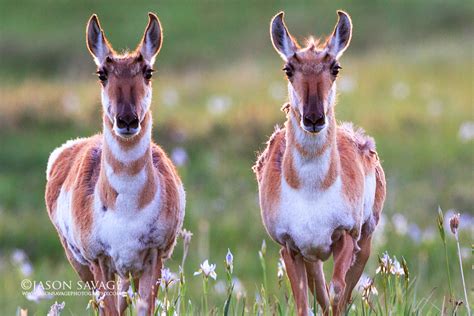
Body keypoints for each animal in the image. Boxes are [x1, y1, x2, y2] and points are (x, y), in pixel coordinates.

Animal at [45, 13, 185, 314]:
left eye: (148, 72)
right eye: (102, 74)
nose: (127, 120)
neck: (127, 211)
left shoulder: (153, 257)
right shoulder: (99, 261)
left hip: (127, 272)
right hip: (82, 265)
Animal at [256, 11, 386, 314]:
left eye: (335, 67)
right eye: (288, 69)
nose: (314, 118)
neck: (311, 190)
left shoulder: (346, 236)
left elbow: (338, 291)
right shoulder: (290, 247)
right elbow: (304, 305)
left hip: (365, 241)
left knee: (339, 294)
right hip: (312, 256)